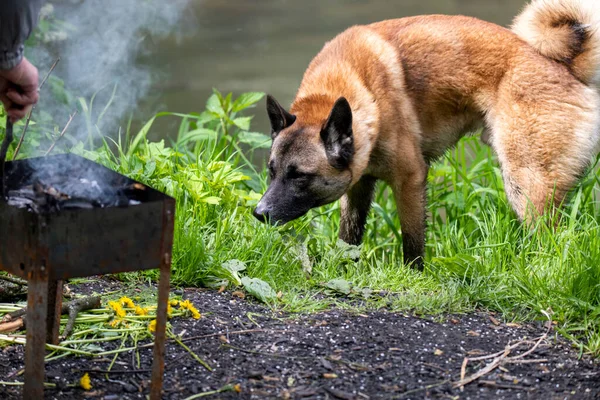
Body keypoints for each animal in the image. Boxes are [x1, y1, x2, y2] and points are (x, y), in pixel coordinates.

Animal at [253, 0, 600, 270]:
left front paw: (413, 276)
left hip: (525, 182)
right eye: (272, 171)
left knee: (551, 240)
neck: (352, 83)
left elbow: (412, 242)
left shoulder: (410, 178)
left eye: (300, 176)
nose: (259, 213)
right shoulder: (359, 184)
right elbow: (349, 237)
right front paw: (343, 271)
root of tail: (565, 67)